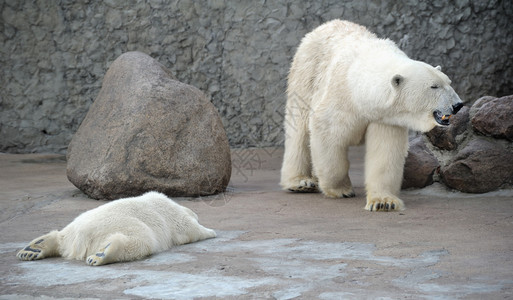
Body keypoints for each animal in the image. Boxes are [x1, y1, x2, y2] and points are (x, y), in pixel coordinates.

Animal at [17, 191, 215, 266]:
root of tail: (81, 236)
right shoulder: (175, 218)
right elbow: (191, 230)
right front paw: (211, 232)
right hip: (126, 226)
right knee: (140, 242)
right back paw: (101, 255)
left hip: (72, 228)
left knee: (60, 237)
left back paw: (32, 249)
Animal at [280, 19, 464, 211]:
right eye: (434, 86)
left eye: (449, 82)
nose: (457, 105)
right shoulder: (341, 99)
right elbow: (327, 134)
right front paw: (341, 189)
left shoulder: (386, 117)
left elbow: (385, 152)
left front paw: (384, 202)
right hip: (306, 73)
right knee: (299, 127)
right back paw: (300, 182)